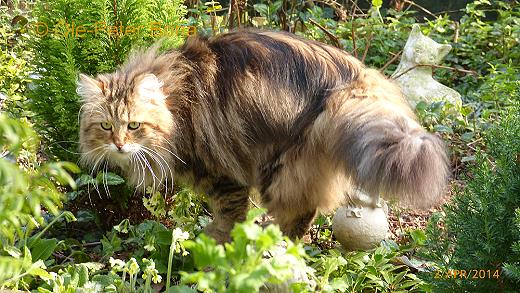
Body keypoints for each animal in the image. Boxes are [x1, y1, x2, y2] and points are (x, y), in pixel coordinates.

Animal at [77, 29, 450, 241]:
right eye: (106, 126)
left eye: (133, 125)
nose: (119, 145)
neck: (179, 100)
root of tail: (351, 75)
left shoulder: (222, 175)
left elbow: (228, 218)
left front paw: (219, 250)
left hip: (280, 168)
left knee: (300, 214)